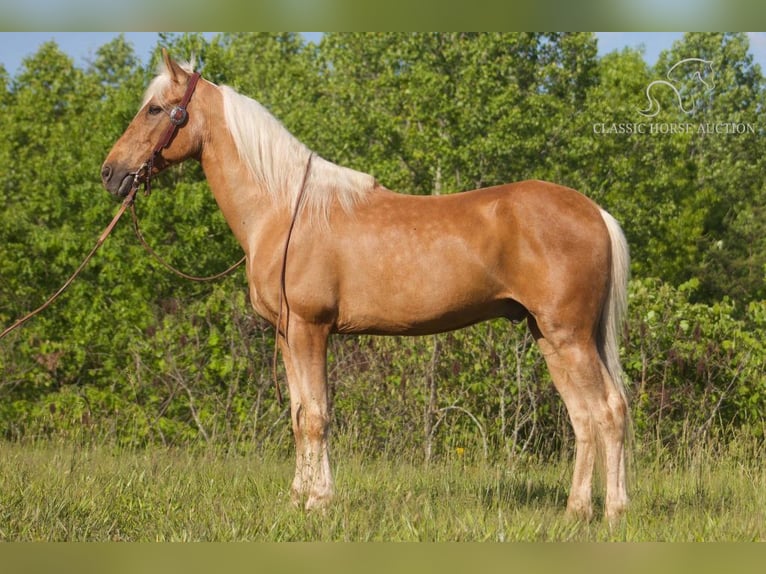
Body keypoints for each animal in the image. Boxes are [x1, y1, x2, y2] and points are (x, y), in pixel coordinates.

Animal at [100, 51, 632, 524]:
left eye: (154, 109)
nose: (110, 173)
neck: (284, 207)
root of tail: (594, 212)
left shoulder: (310, 329)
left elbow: (315, 416)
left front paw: (318, 502)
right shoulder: (287, 334)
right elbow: (299, 414)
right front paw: (298, 498)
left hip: (568, 336)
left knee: (606, 411)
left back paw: (613, 512)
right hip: (549, 337)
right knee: (586, 417)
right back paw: (578, 510)